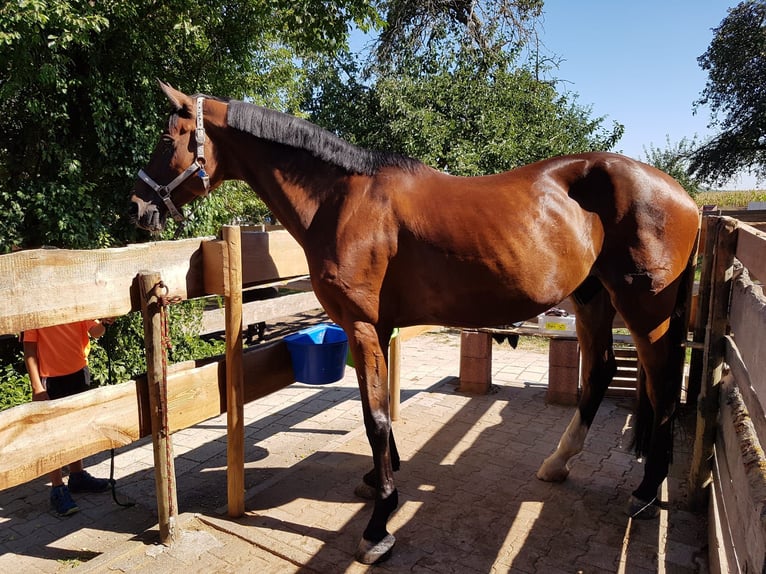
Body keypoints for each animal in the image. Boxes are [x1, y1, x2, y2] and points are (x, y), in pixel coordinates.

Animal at [130, 82, 704, 568]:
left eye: (166, 137)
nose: (138, 209)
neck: (342, 199)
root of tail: (685, 198)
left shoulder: (362, 325)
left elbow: (376, 419)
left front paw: (379, 525)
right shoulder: (378, 328)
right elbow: (377, 410)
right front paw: (379, 478)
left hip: (644, 311)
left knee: (660, 381)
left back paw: (645, 491)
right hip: (592, 299)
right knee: (602, 370)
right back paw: (559, 463)